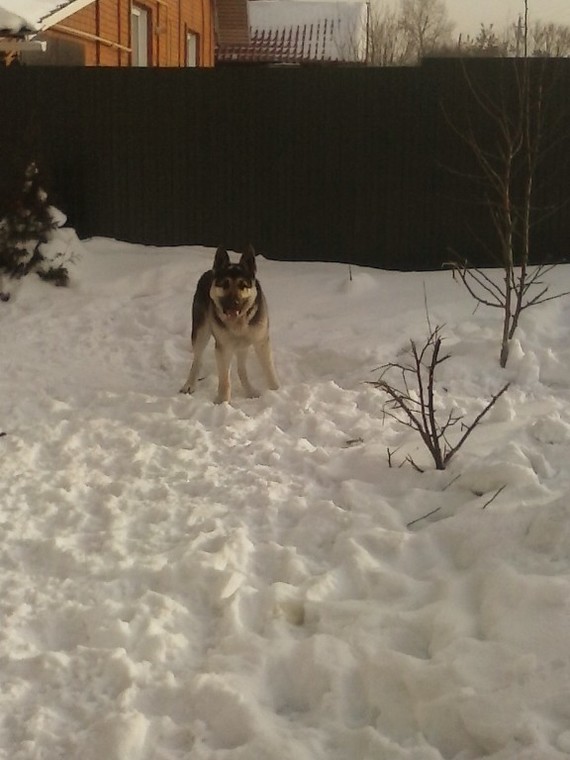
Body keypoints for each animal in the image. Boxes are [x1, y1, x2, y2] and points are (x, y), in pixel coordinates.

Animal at [179, 248, 278, 404]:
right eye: (225, 285)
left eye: (243, 285)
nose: (234, 303)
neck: (239, 323)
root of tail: (210, 271)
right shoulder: (223, 348)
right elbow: (225, 380)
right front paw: (222, 402)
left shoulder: (261, 342)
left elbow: (269, 369)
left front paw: (276, 391)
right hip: (201, 332)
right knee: (197, 360)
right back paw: (189, 384)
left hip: (243, 345)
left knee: (241, 369)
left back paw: (250, 391)